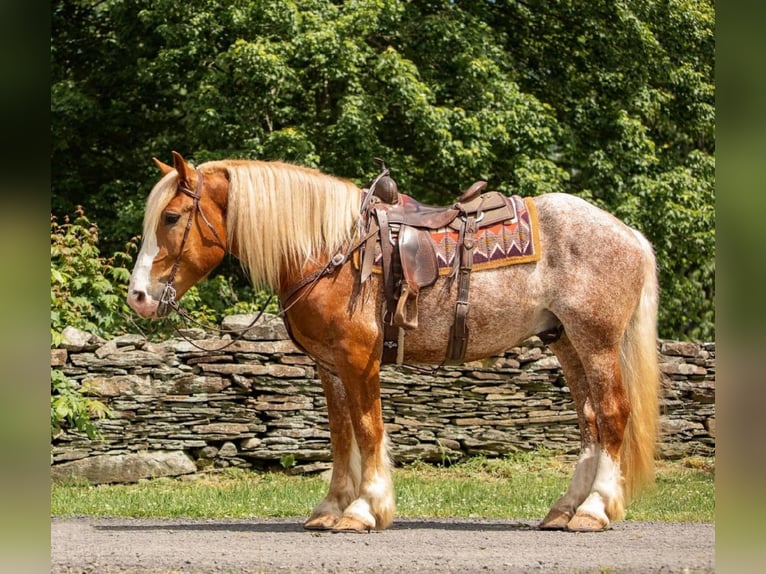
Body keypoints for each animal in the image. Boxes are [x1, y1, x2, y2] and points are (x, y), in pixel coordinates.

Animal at [126, 152, 660, 536]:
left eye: (171, 217)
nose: (138, 297)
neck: (330, 251)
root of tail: (630, 234)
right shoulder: (329, 365)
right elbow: (341, 434)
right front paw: (331, 507)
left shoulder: (359, 359)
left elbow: (367, 429)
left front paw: (364, 509)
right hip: (565, 341)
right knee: (590, 422)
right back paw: (565, 509)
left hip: (596, 342)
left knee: (612, 414)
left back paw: (594, 510)